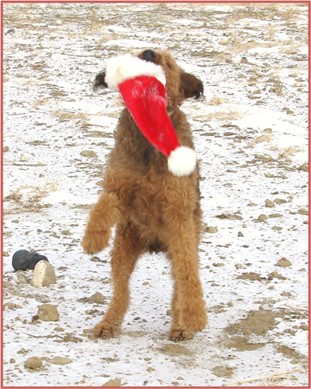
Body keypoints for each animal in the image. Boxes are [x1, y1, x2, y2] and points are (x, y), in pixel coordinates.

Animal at [82, 48, 207, 340]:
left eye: (169, 64)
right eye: (139, 53)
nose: (149, 53)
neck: (150, 132)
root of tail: (154, 243)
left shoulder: (178, 212)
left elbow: (188, 274)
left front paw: (194, 316)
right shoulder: (119, 186)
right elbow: (104, 203)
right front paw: (93, 238)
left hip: (182, 238)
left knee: (180, 283)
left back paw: (181, 325)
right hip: (124, 247)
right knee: (121, 291)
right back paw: (107, 323)